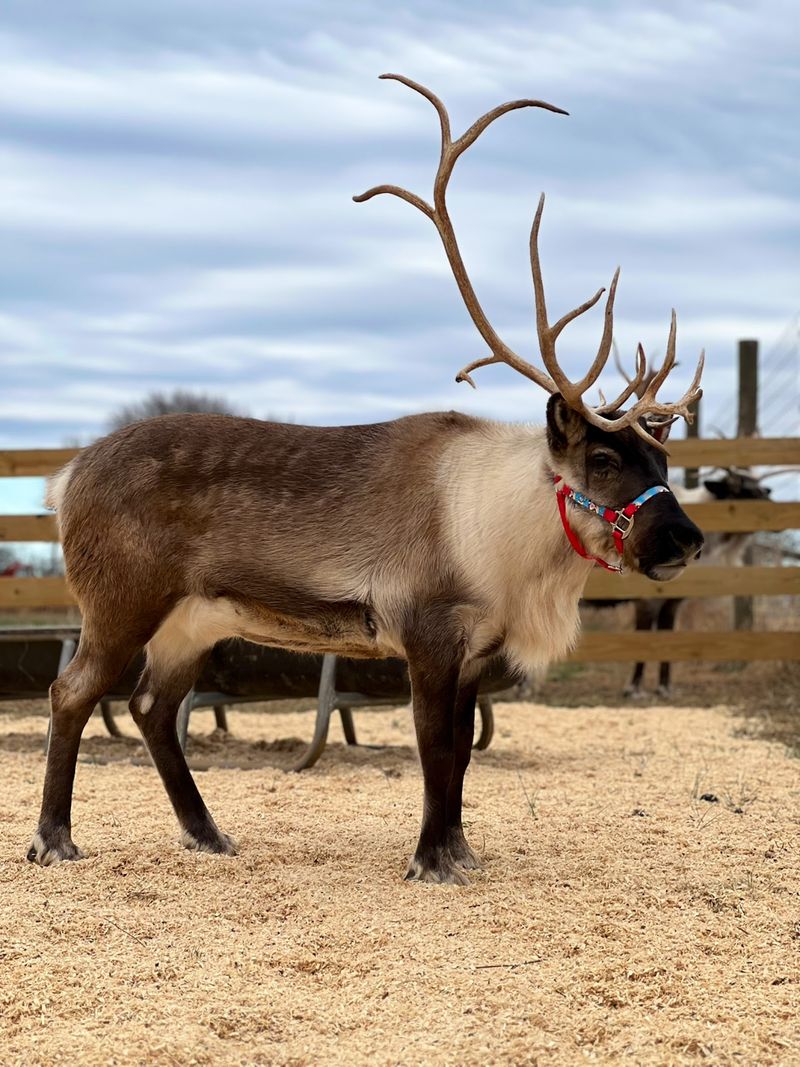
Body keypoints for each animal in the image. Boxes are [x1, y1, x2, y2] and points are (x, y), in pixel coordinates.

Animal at [29, 74, 704, 885]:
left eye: (662, 462)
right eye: (603, 461)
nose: (686, 540)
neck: (497, 529)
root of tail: (67, 474)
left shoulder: (477, 651)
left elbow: (460, 760)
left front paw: (459, 850)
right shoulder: (428, 634)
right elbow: (435, 749)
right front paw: (431, 861)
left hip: (195, 621)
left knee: (152, 707)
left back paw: (207, 833)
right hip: (121, 601)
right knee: (71, 692)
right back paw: (54, 838)